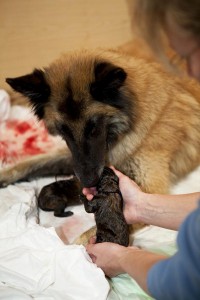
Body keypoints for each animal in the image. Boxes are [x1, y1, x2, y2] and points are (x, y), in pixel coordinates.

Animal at [1, 47, 200, 216]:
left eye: (93, 127)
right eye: (64, 131)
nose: (88, 182)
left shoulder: (150, 190)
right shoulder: (79, 159)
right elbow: (35, 162)